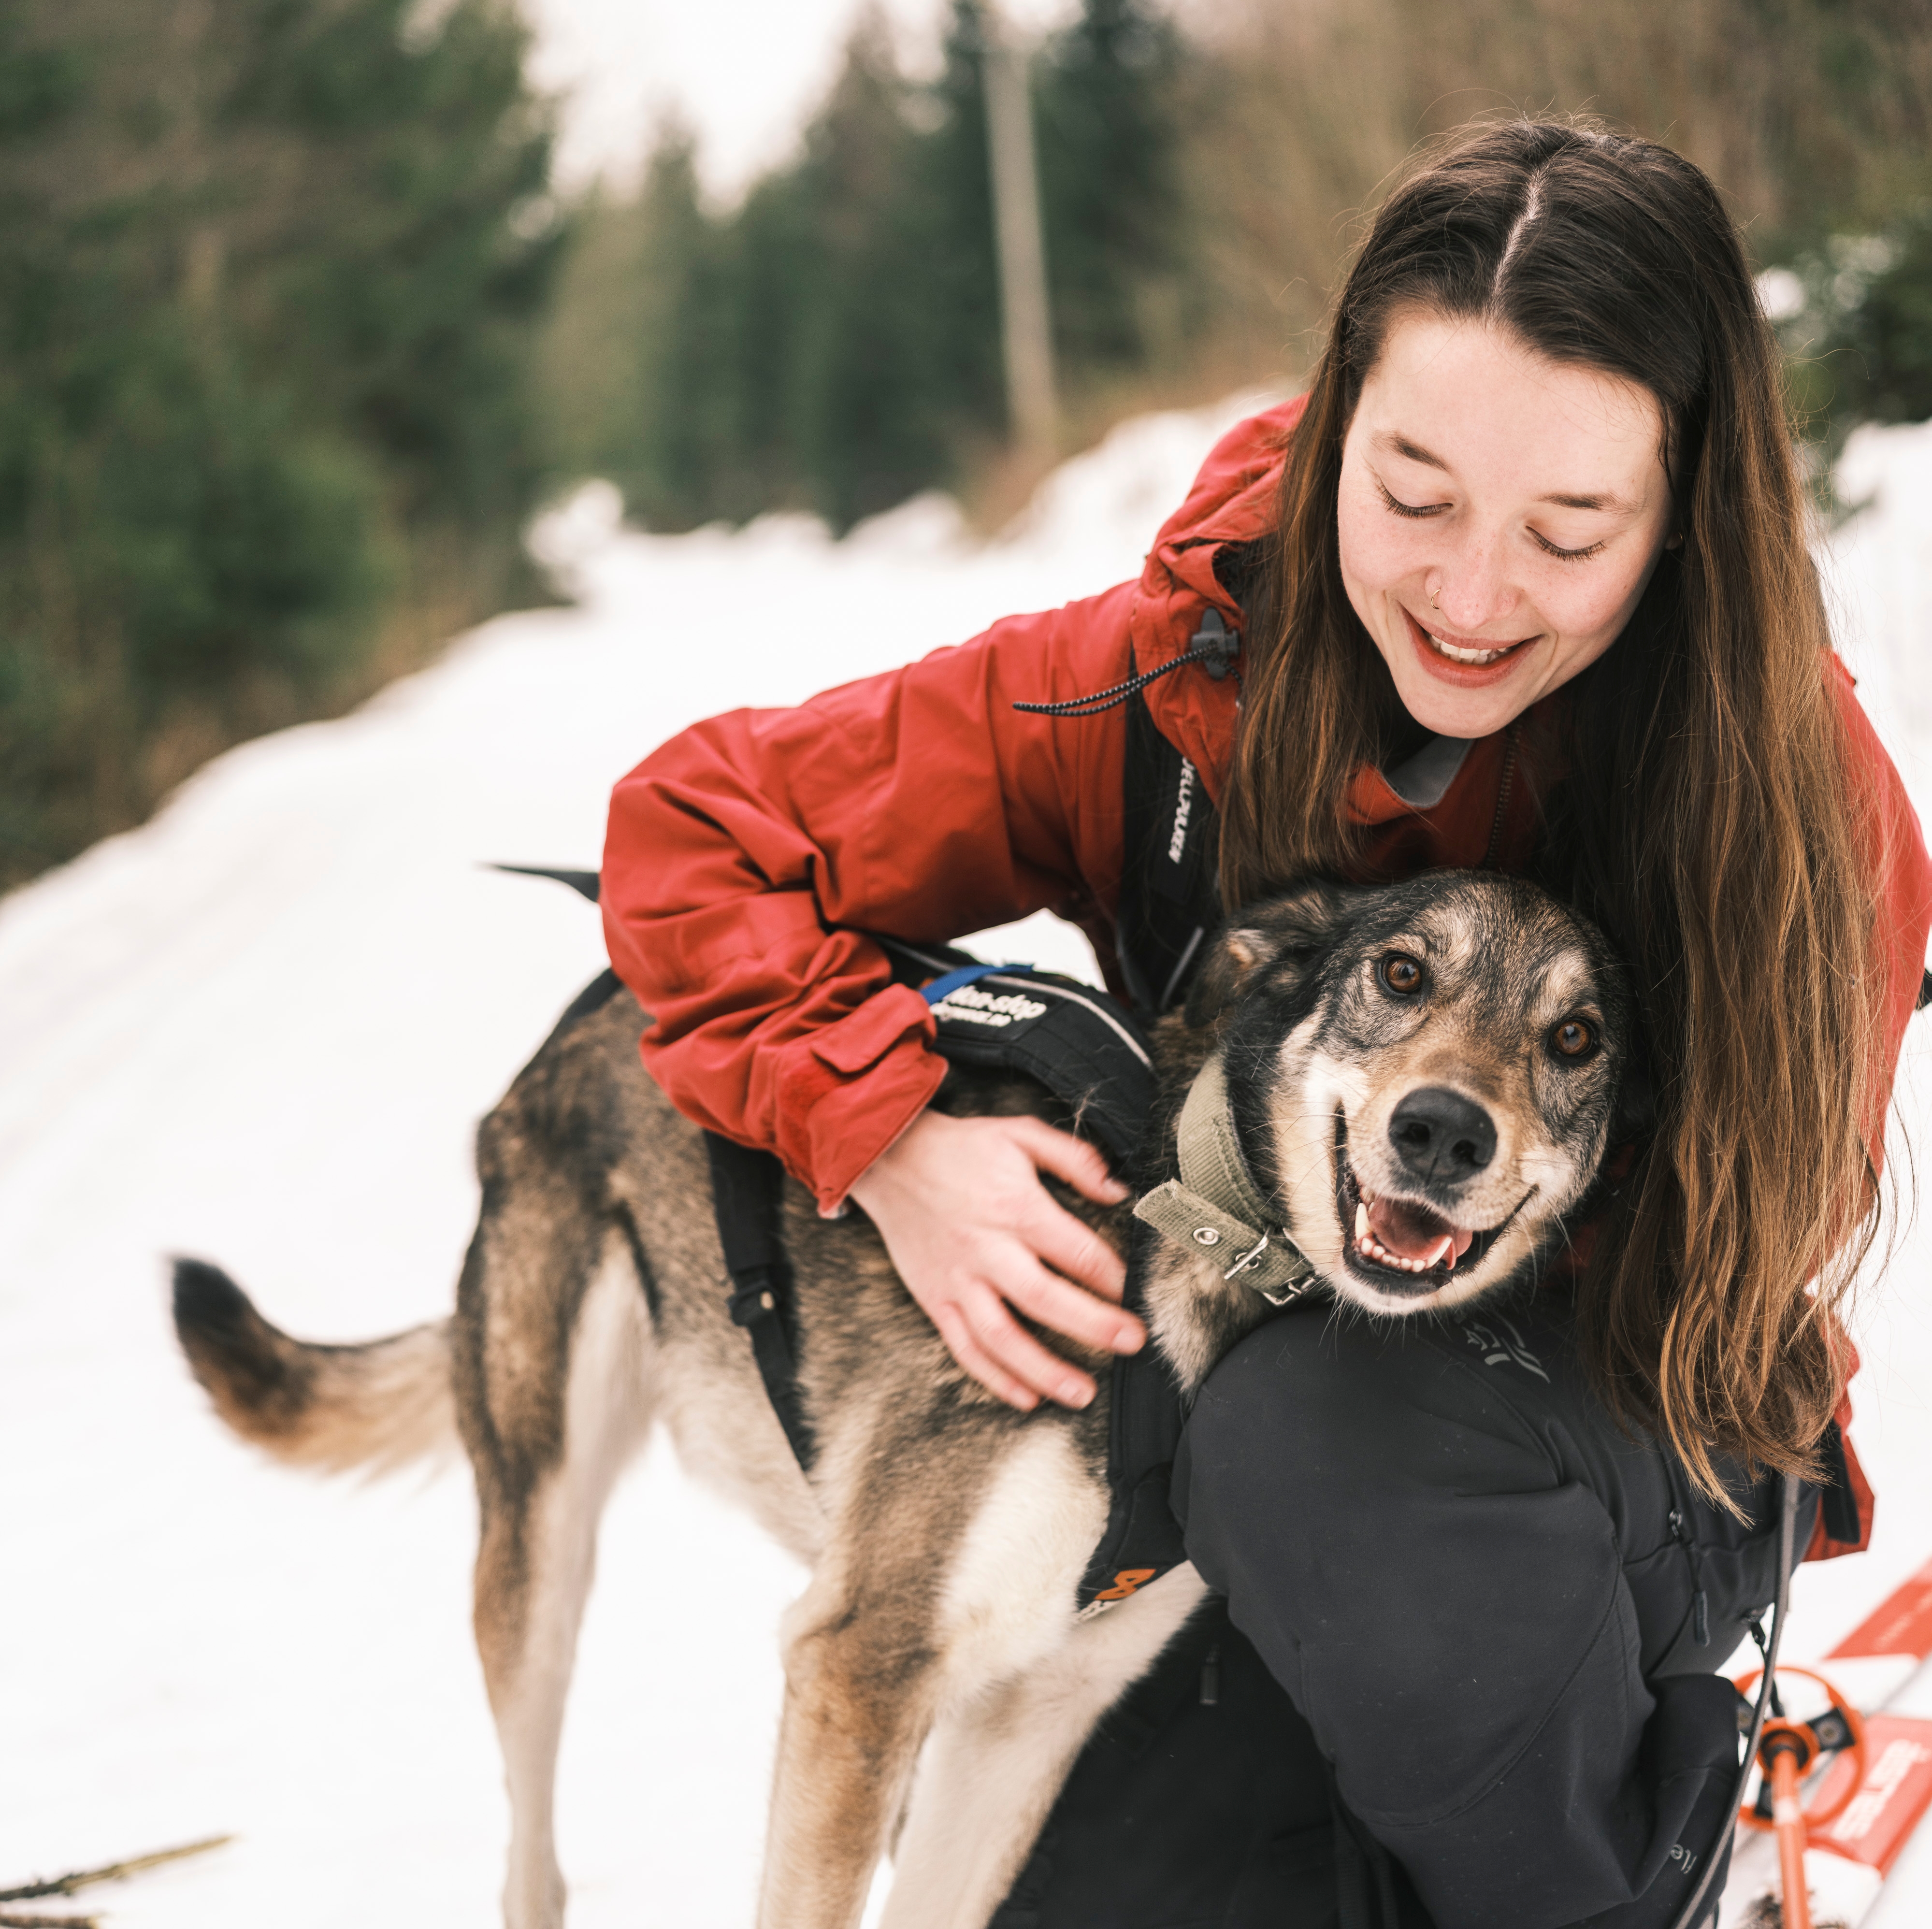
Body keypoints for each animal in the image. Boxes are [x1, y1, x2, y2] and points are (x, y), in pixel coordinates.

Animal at [173, 874, 1638, 1929]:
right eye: (1401, 974)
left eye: (1574, 1040)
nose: (1442, 1132)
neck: (1185, 1236)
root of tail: (573, 1025)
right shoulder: (861, 1664)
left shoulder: (1024, 1711)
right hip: (542, 1555)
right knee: (530, 1852)